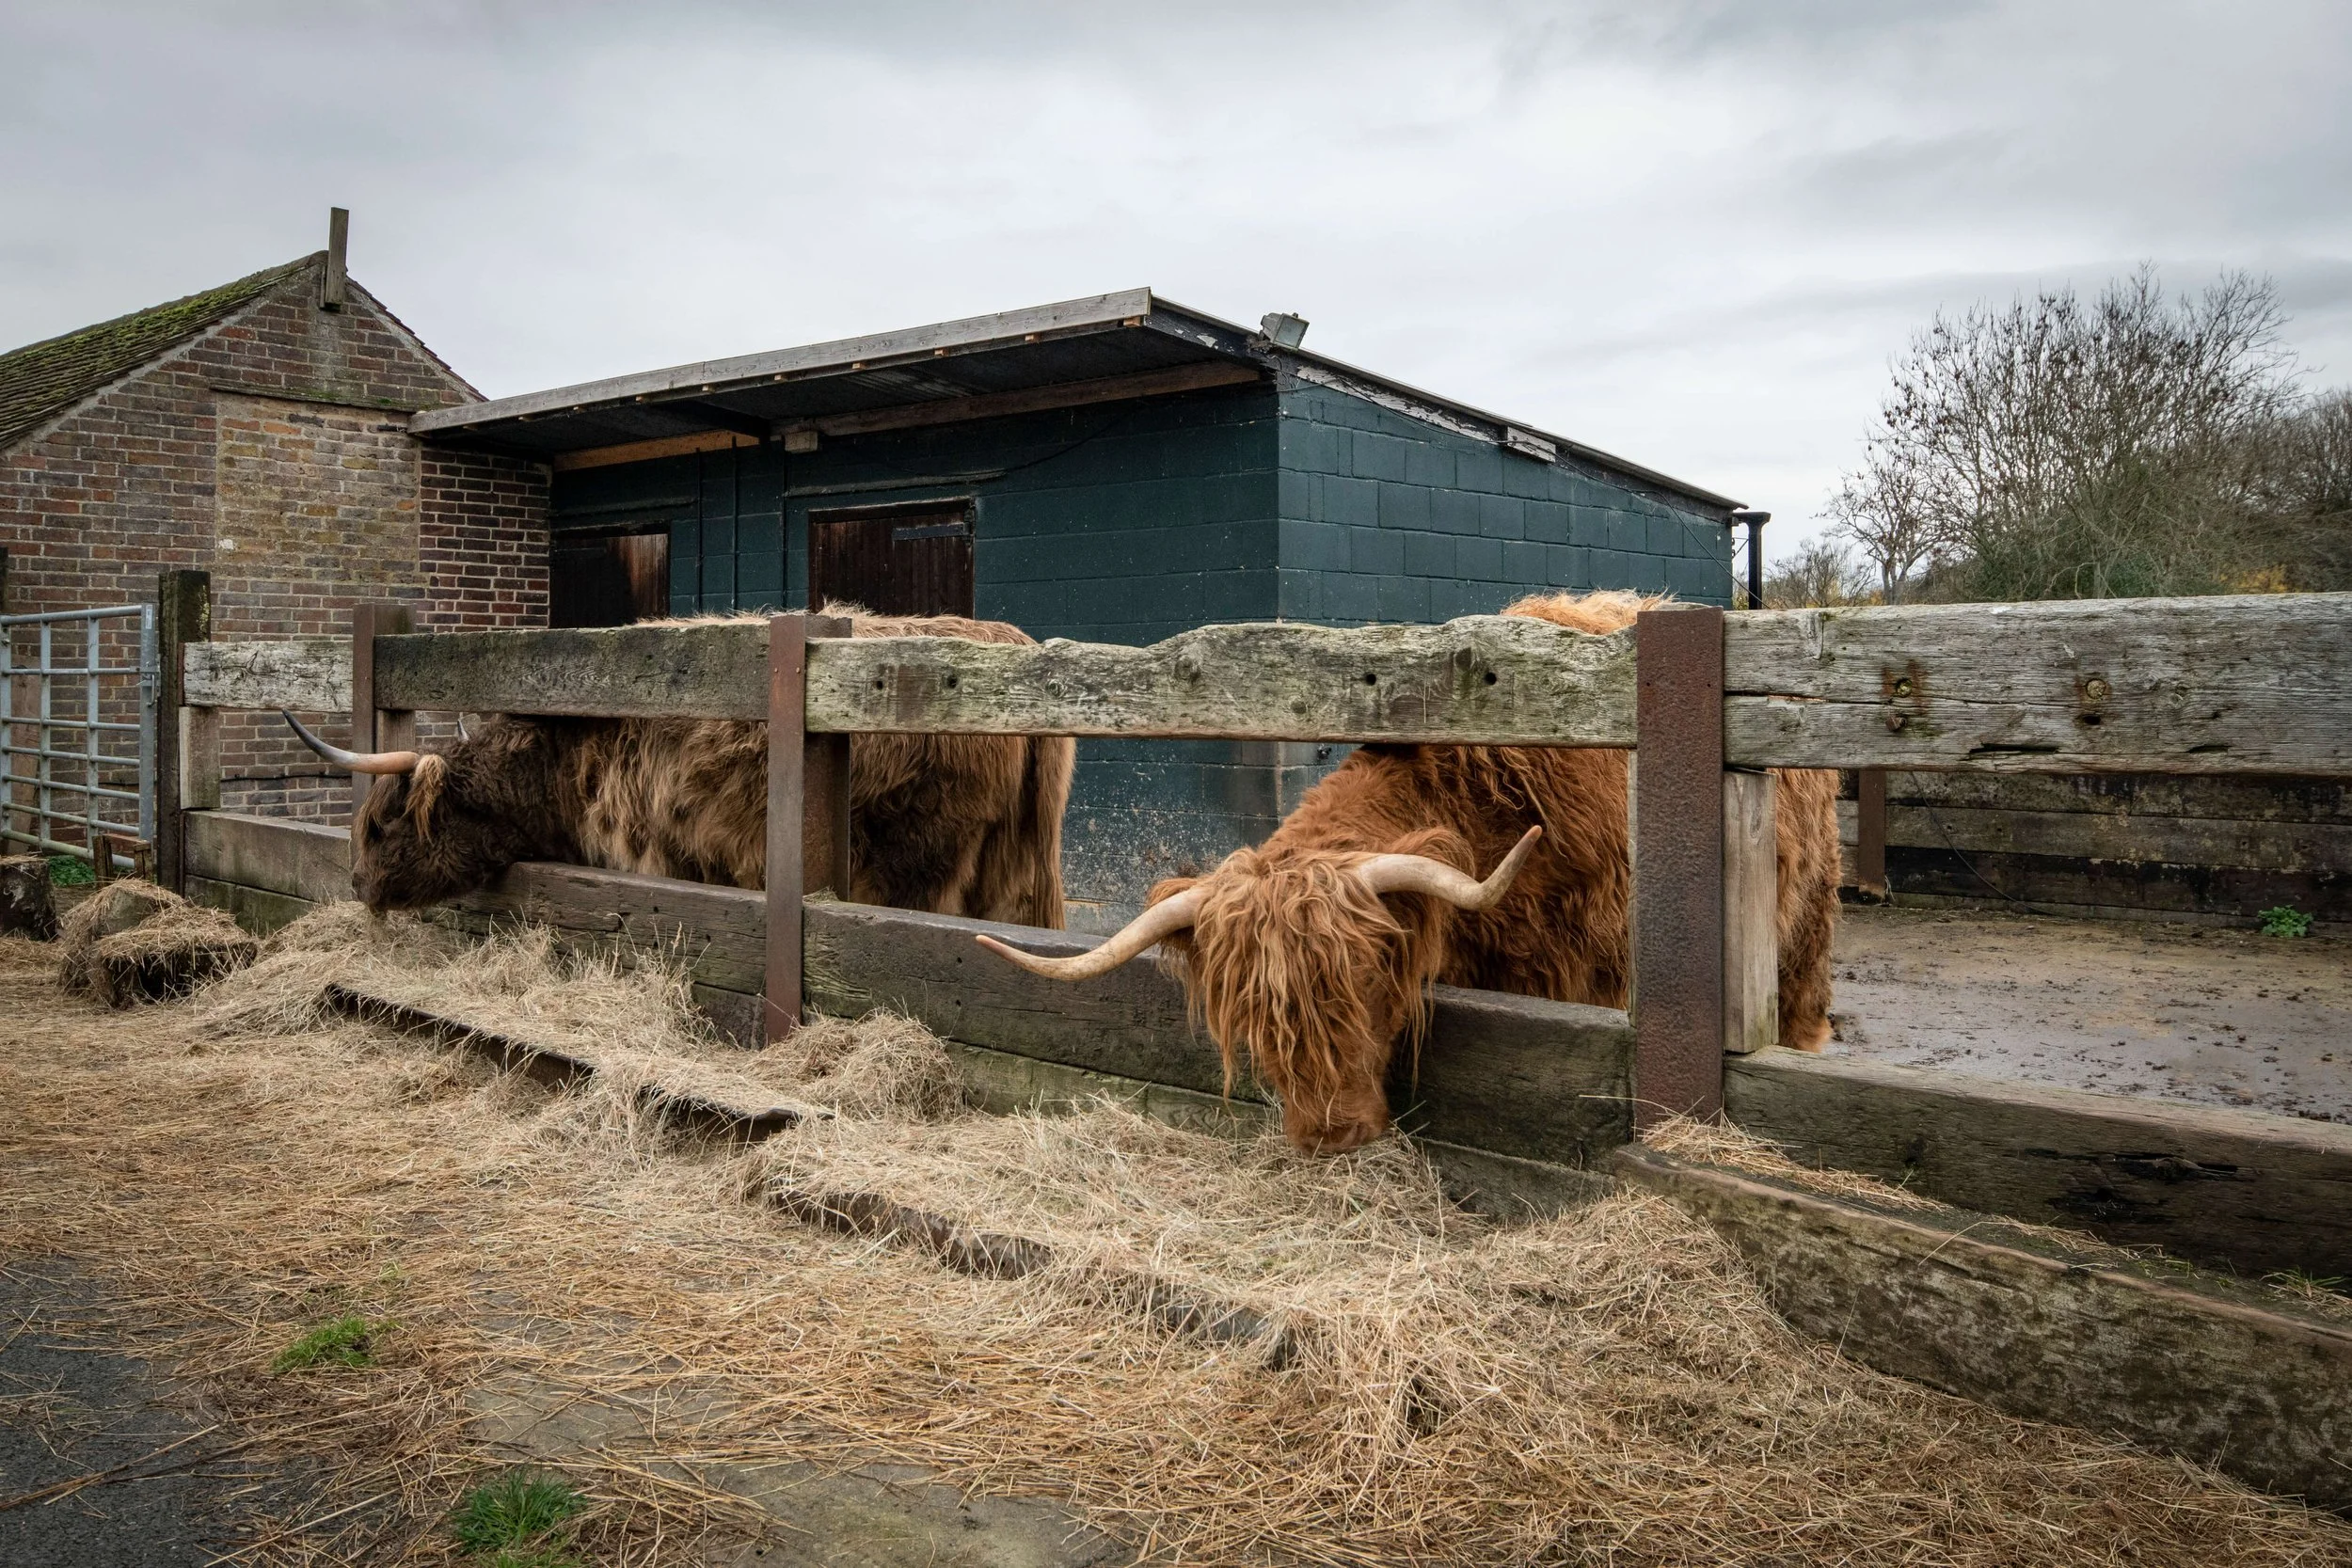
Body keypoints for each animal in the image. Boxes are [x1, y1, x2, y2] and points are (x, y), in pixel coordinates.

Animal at [287, 607, 1076, 927]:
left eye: (381, 826)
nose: (355, 884)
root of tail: (1009, 639)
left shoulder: (650, 853)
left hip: (919, 864)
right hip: (1014, 864)